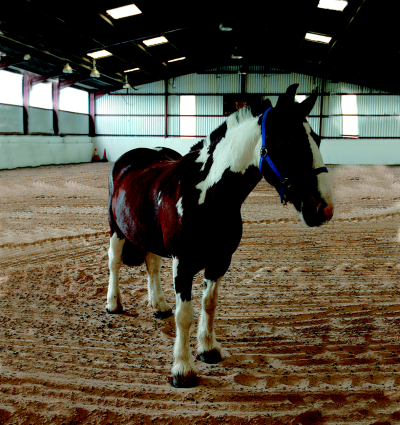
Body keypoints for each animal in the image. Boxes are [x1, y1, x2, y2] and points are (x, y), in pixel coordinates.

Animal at [105, 84, 334, 386]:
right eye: (289, 141)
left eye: (317, 138)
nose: (324, 209)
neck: (208, 196)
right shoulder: (183, 263)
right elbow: (185, 315)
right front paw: (182, 369)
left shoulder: (220, 260)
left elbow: (209, 305)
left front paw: (208, 349)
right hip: (116, 229)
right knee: (114, 263)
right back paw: (113, 304)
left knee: (152, 265)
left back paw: (159, 305)